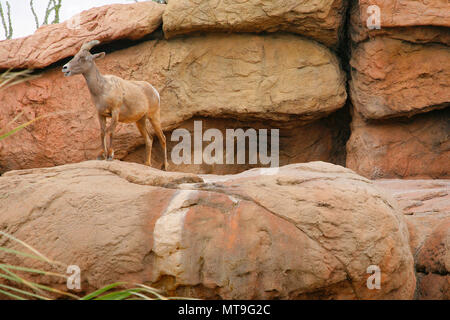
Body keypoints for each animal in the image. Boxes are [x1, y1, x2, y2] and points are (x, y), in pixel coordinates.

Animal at [62, 39, 169, 170]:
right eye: (75, 56)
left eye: (82, 57)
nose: (65, 68)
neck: (103, 90)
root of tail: (154, 91)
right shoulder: (101, 114)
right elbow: (102, 132)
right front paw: (101, 155)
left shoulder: (115, 112)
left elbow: (111, 131)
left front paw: (110, 155)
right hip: (140, 121)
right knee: (149, 139)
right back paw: (147, 164)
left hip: (154, 116)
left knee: (162, 138)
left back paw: (165, 167)